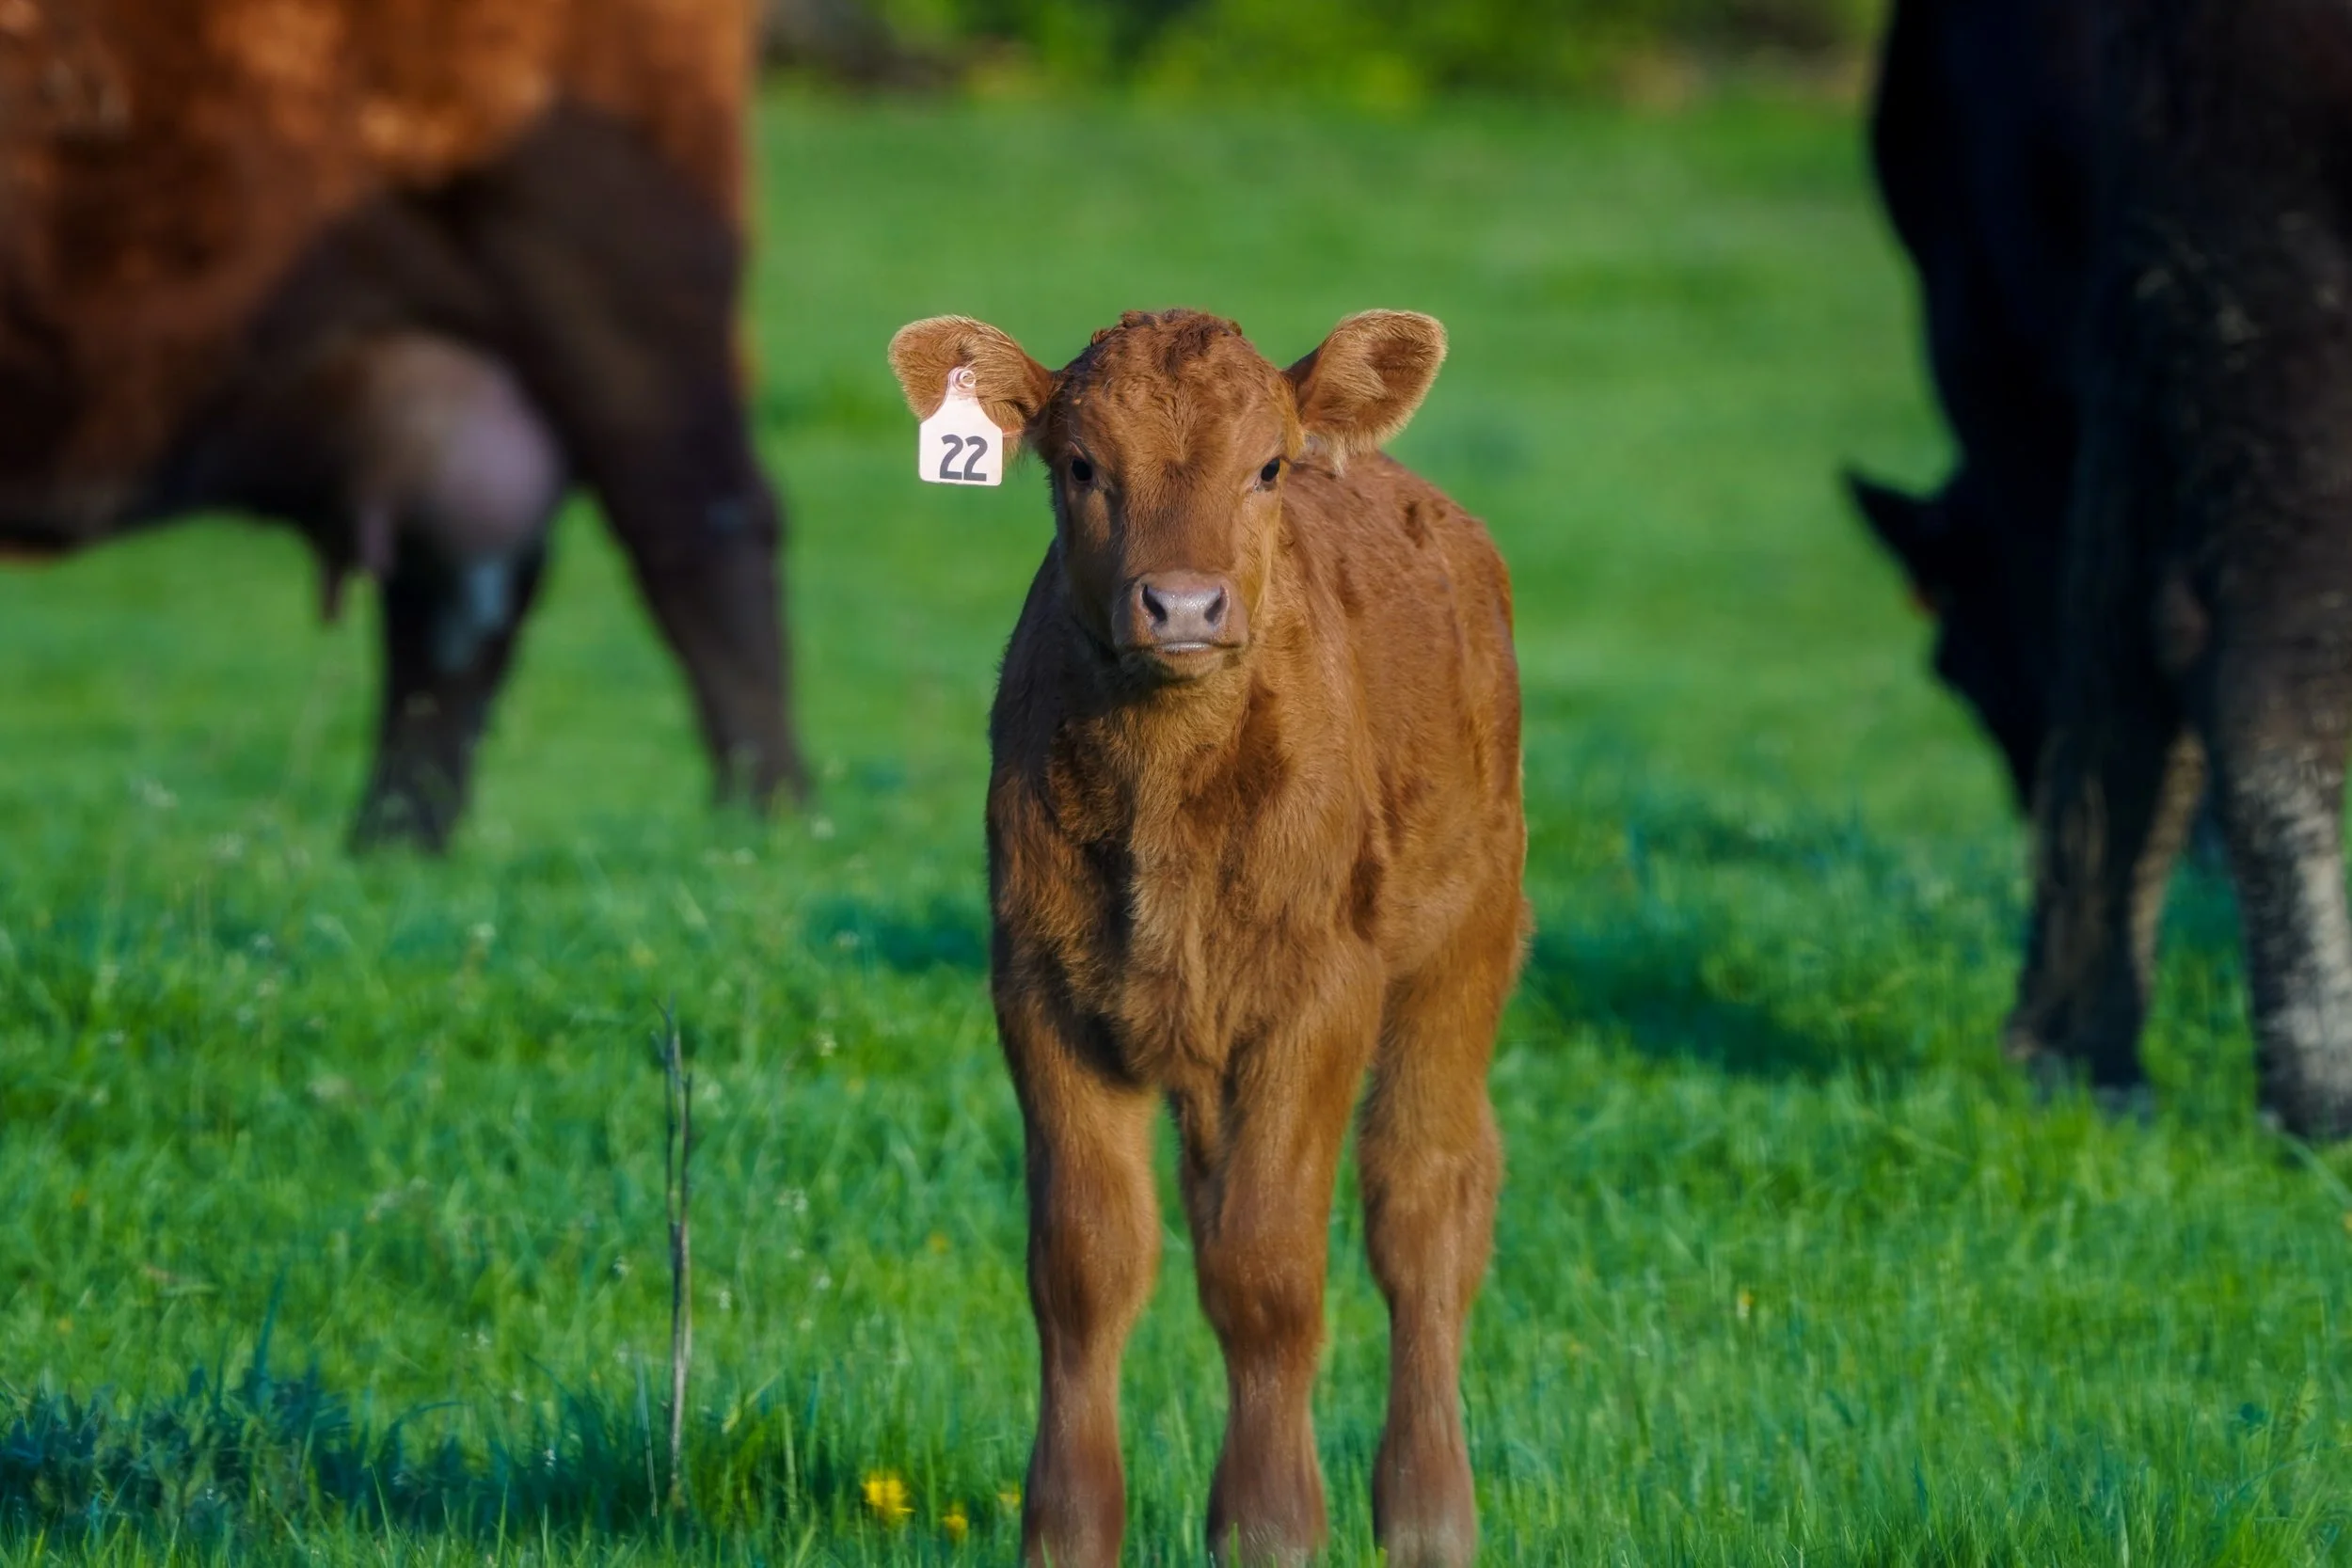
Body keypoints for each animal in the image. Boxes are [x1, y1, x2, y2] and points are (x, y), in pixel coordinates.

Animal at [888, 308, 1526, 1567]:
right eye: (1080, 466)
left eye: (1266, 467)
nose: (1181, 605)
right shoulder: (1040, 996)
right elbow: (1085, 1265)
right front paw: (1068, 1525)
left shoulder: (1315, 1001)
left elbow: (1265, 1270)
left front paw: (1272, 1522)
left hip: (1462, 945)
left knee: (1424, 1204)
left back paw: (1428, 1512)